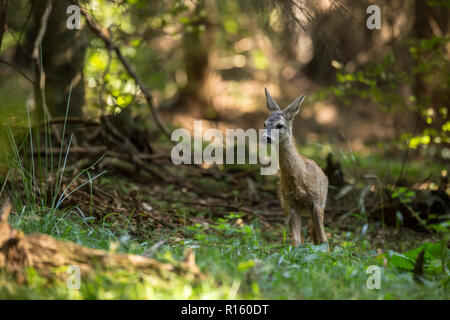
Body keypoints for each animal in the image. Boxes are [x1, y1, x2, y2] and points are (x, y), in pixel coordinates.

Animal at [262, 89, 328, 249]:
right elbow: (296, 242)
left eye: (280, 125)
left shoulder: (316, 202)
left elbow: (325, 241)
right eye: (265, 123)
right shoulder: (291, 205)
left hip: (321, 205)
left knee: (317, 234)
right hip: (284, 205)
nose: (266, 137)